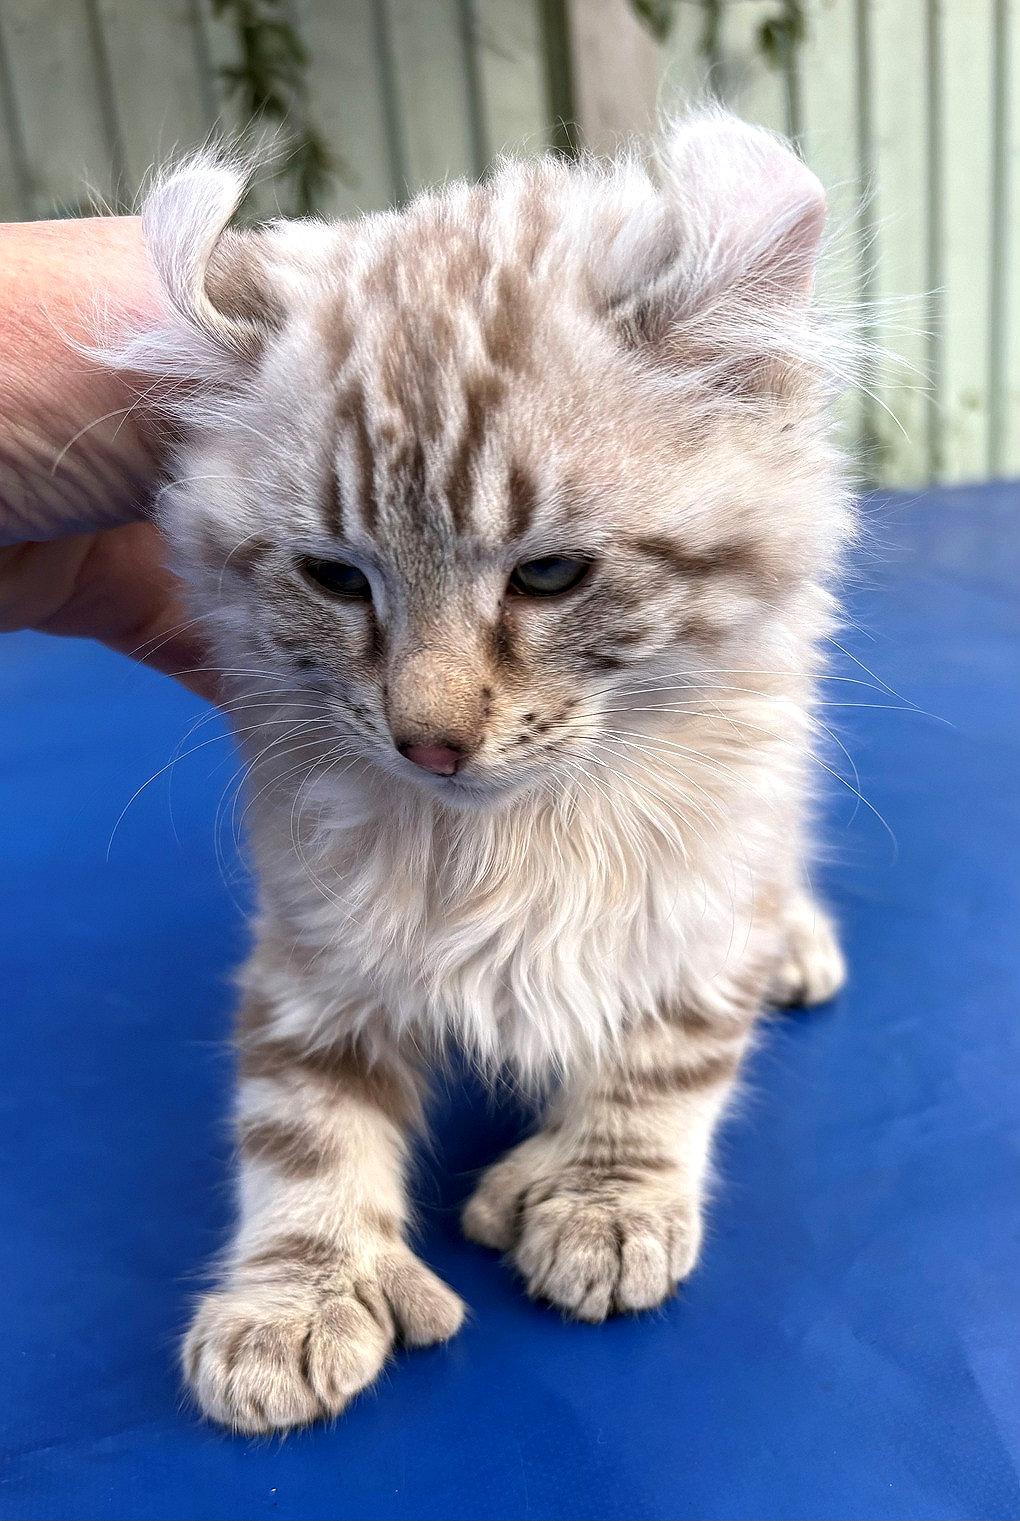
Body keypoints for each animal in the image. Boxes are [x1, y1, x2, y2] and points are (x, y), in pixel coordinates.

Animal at [105, 110, 850, 1432]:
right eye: (336, 577)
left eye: (549, 575)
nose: (429, 738)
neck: (507, 840)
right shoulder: (311, 955)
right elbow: (300, 1131)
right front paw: (291, 1301)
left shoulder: (703, 903)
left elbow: (664, 1057)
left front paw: (605, 1203)